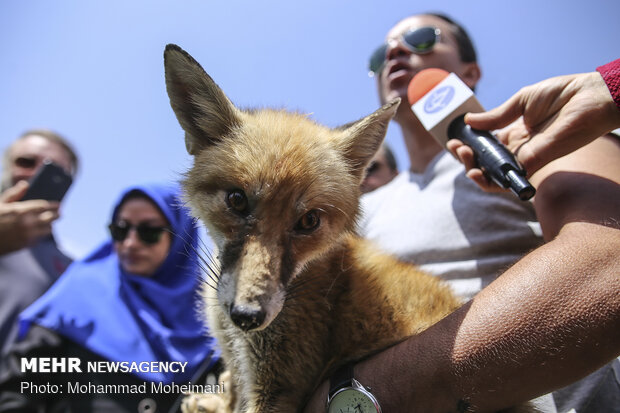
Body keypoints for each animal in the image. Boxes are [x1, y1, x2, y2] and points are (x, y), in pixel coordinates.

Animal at [163, 45, 536, 412]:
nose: (247, 315)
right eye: (237, 201)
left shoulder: (281, 384)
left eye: (309, 221)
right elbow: (232, 392)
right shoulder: (241, 364)